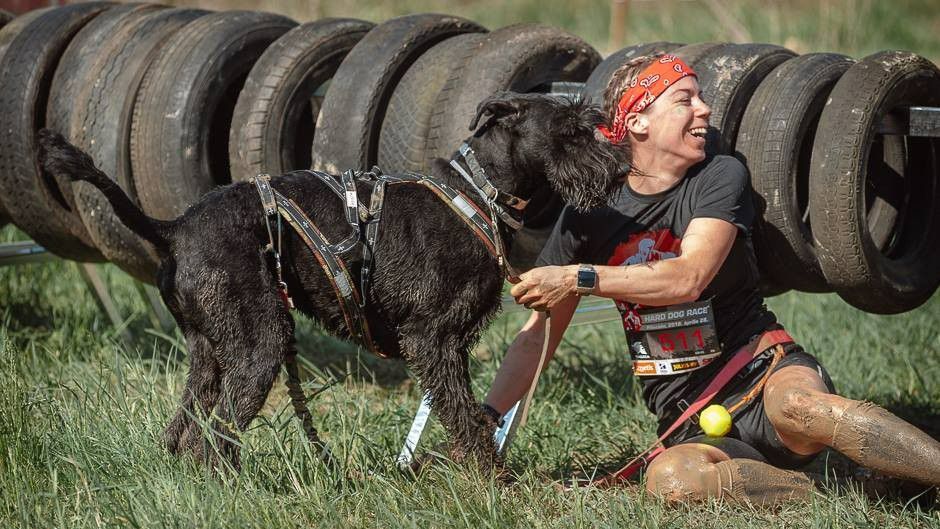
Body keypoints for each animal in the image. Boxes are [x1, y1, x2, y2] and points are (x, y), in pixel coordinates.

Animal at [38, 91, 624, 470]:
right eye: (571, 130)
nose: (619, 171)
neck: (478, 192)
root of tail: (173, 228)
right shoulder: (433, 339)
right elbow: (463, 413)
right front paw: (491, 479)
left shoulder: (448, 344)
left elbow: (465, 412)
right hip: (260, 346)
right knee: (215, 438)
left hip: (210, 352)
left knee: (185, 431)